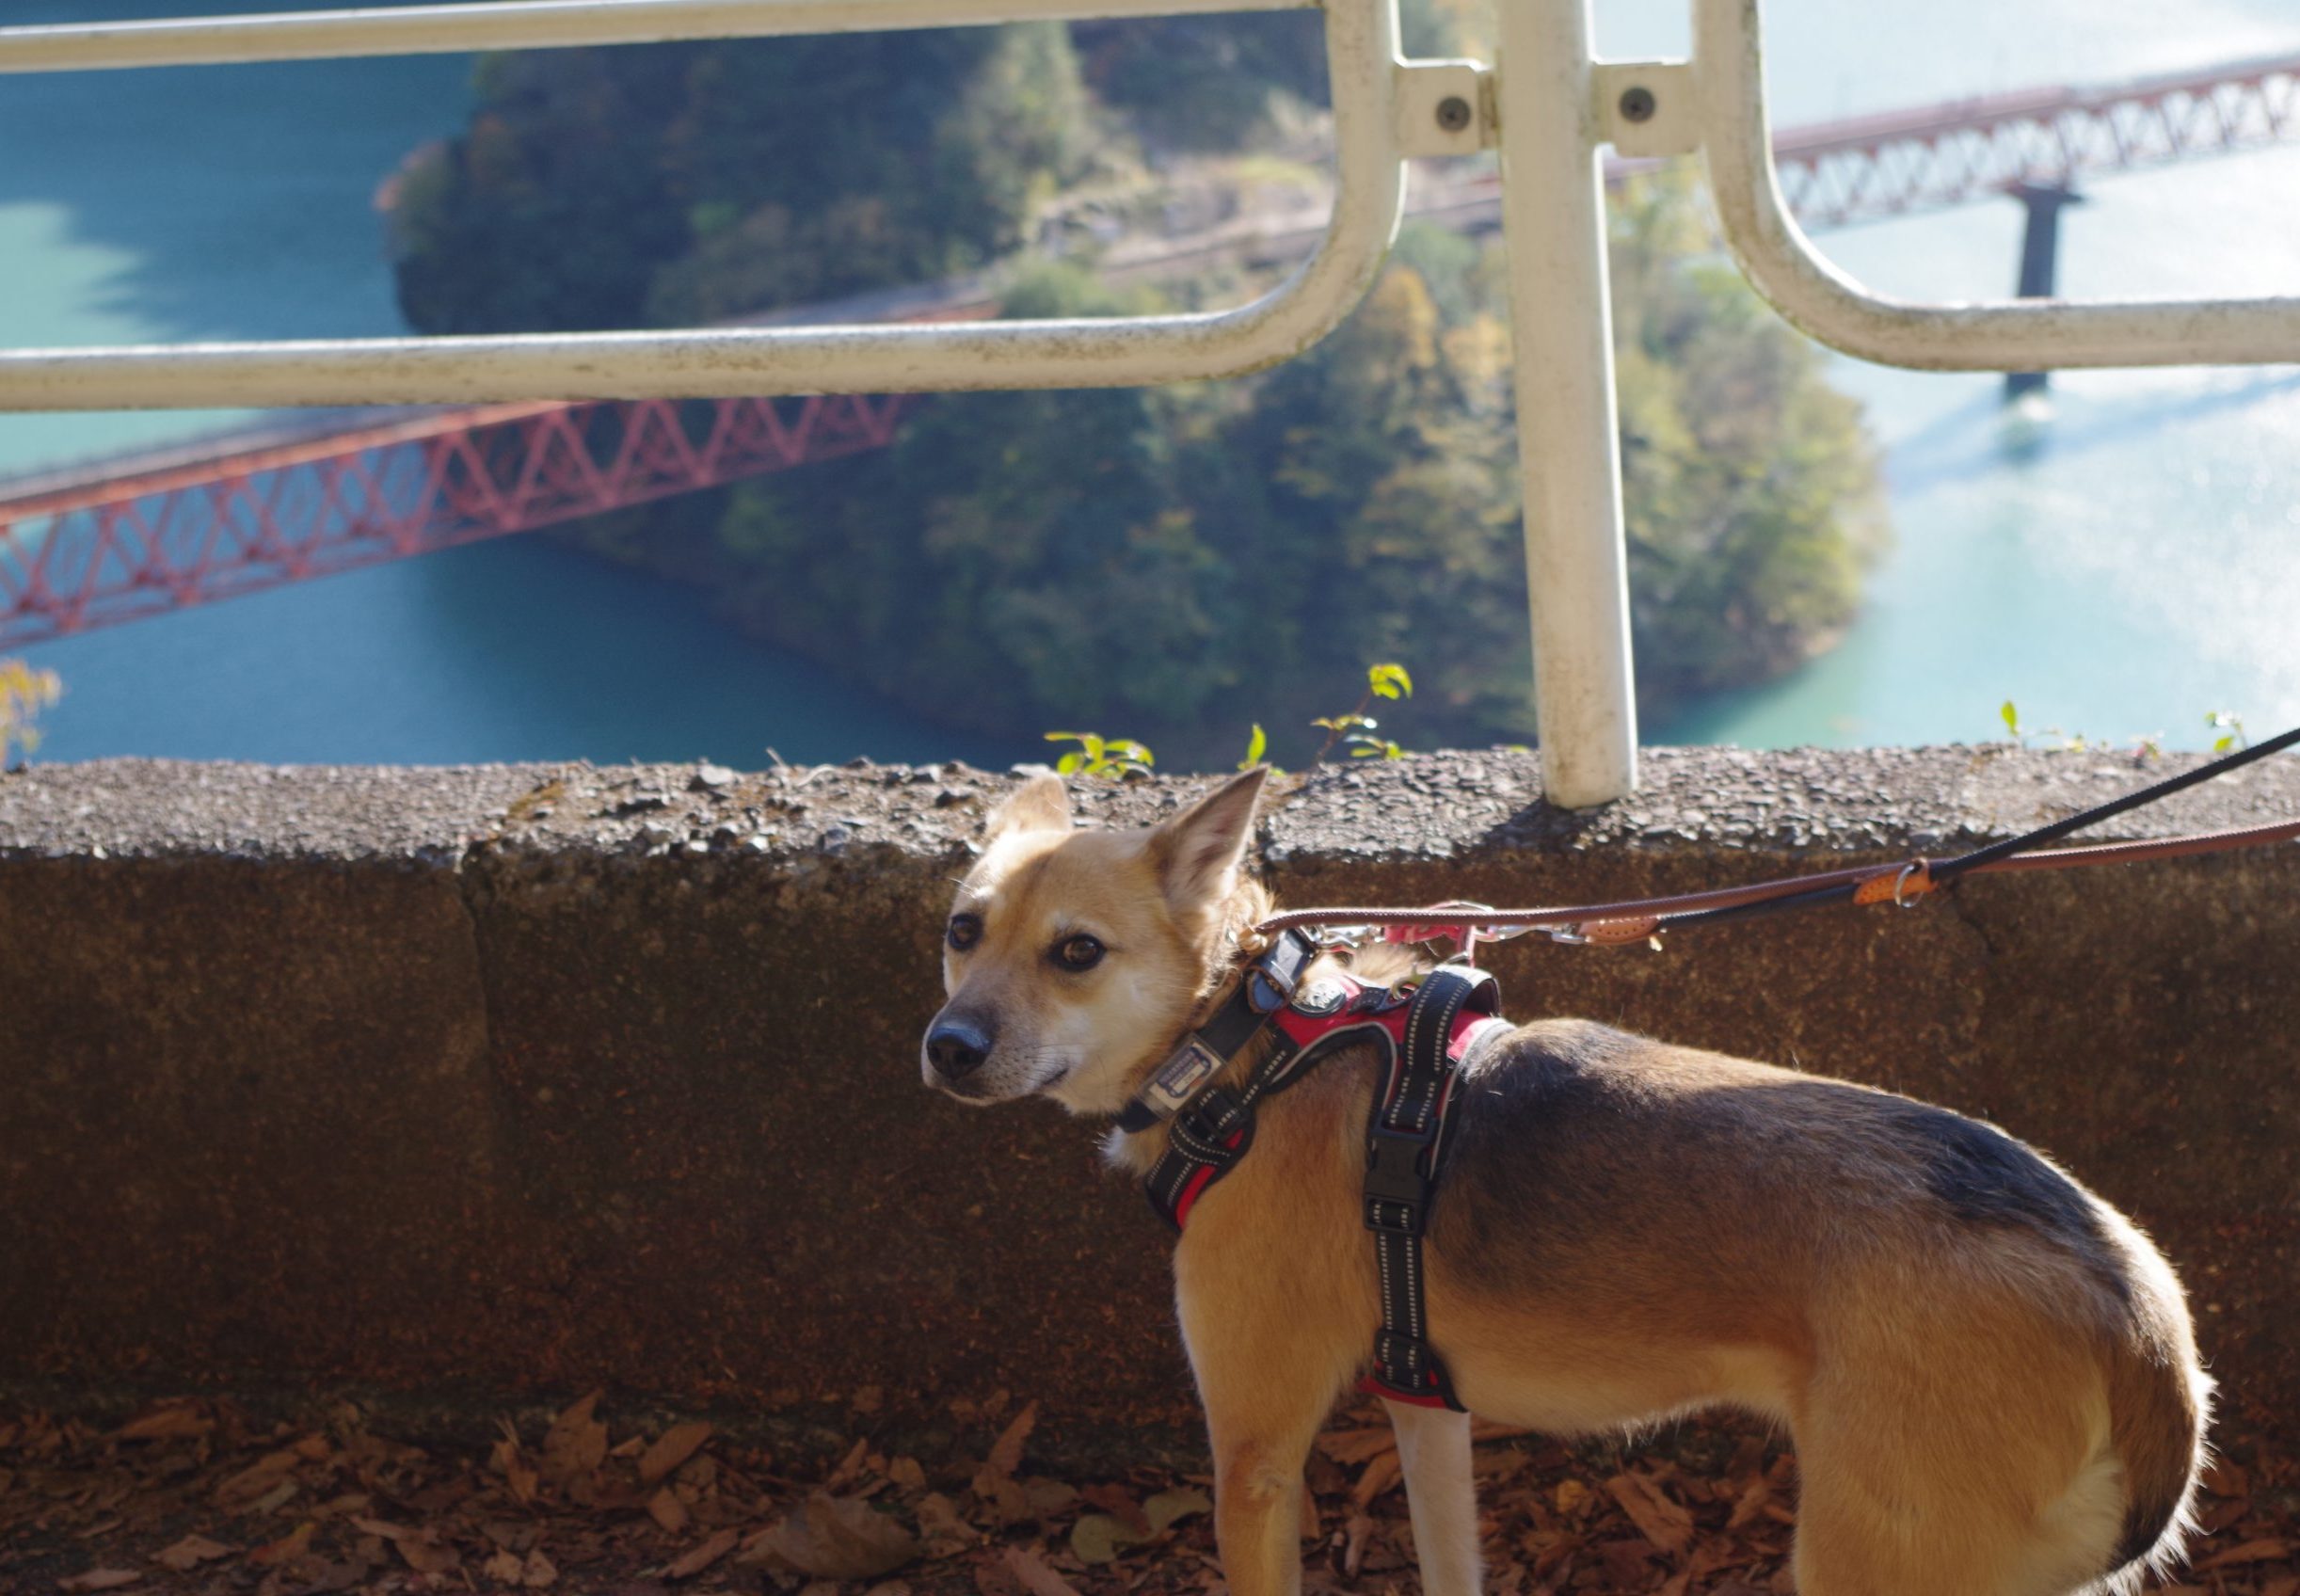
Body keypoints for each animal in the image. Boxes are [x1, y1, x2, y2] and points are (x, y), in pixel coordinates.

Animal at [924, 768, 2217, 1591]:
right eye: (959, 931)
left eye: (1076, 952)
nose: (945, 1048)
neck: (1242, 1041)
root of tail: (2129, 1297)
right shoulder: (1421, 1410)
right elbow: (1449, 1567)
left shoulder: (1252, 1457)